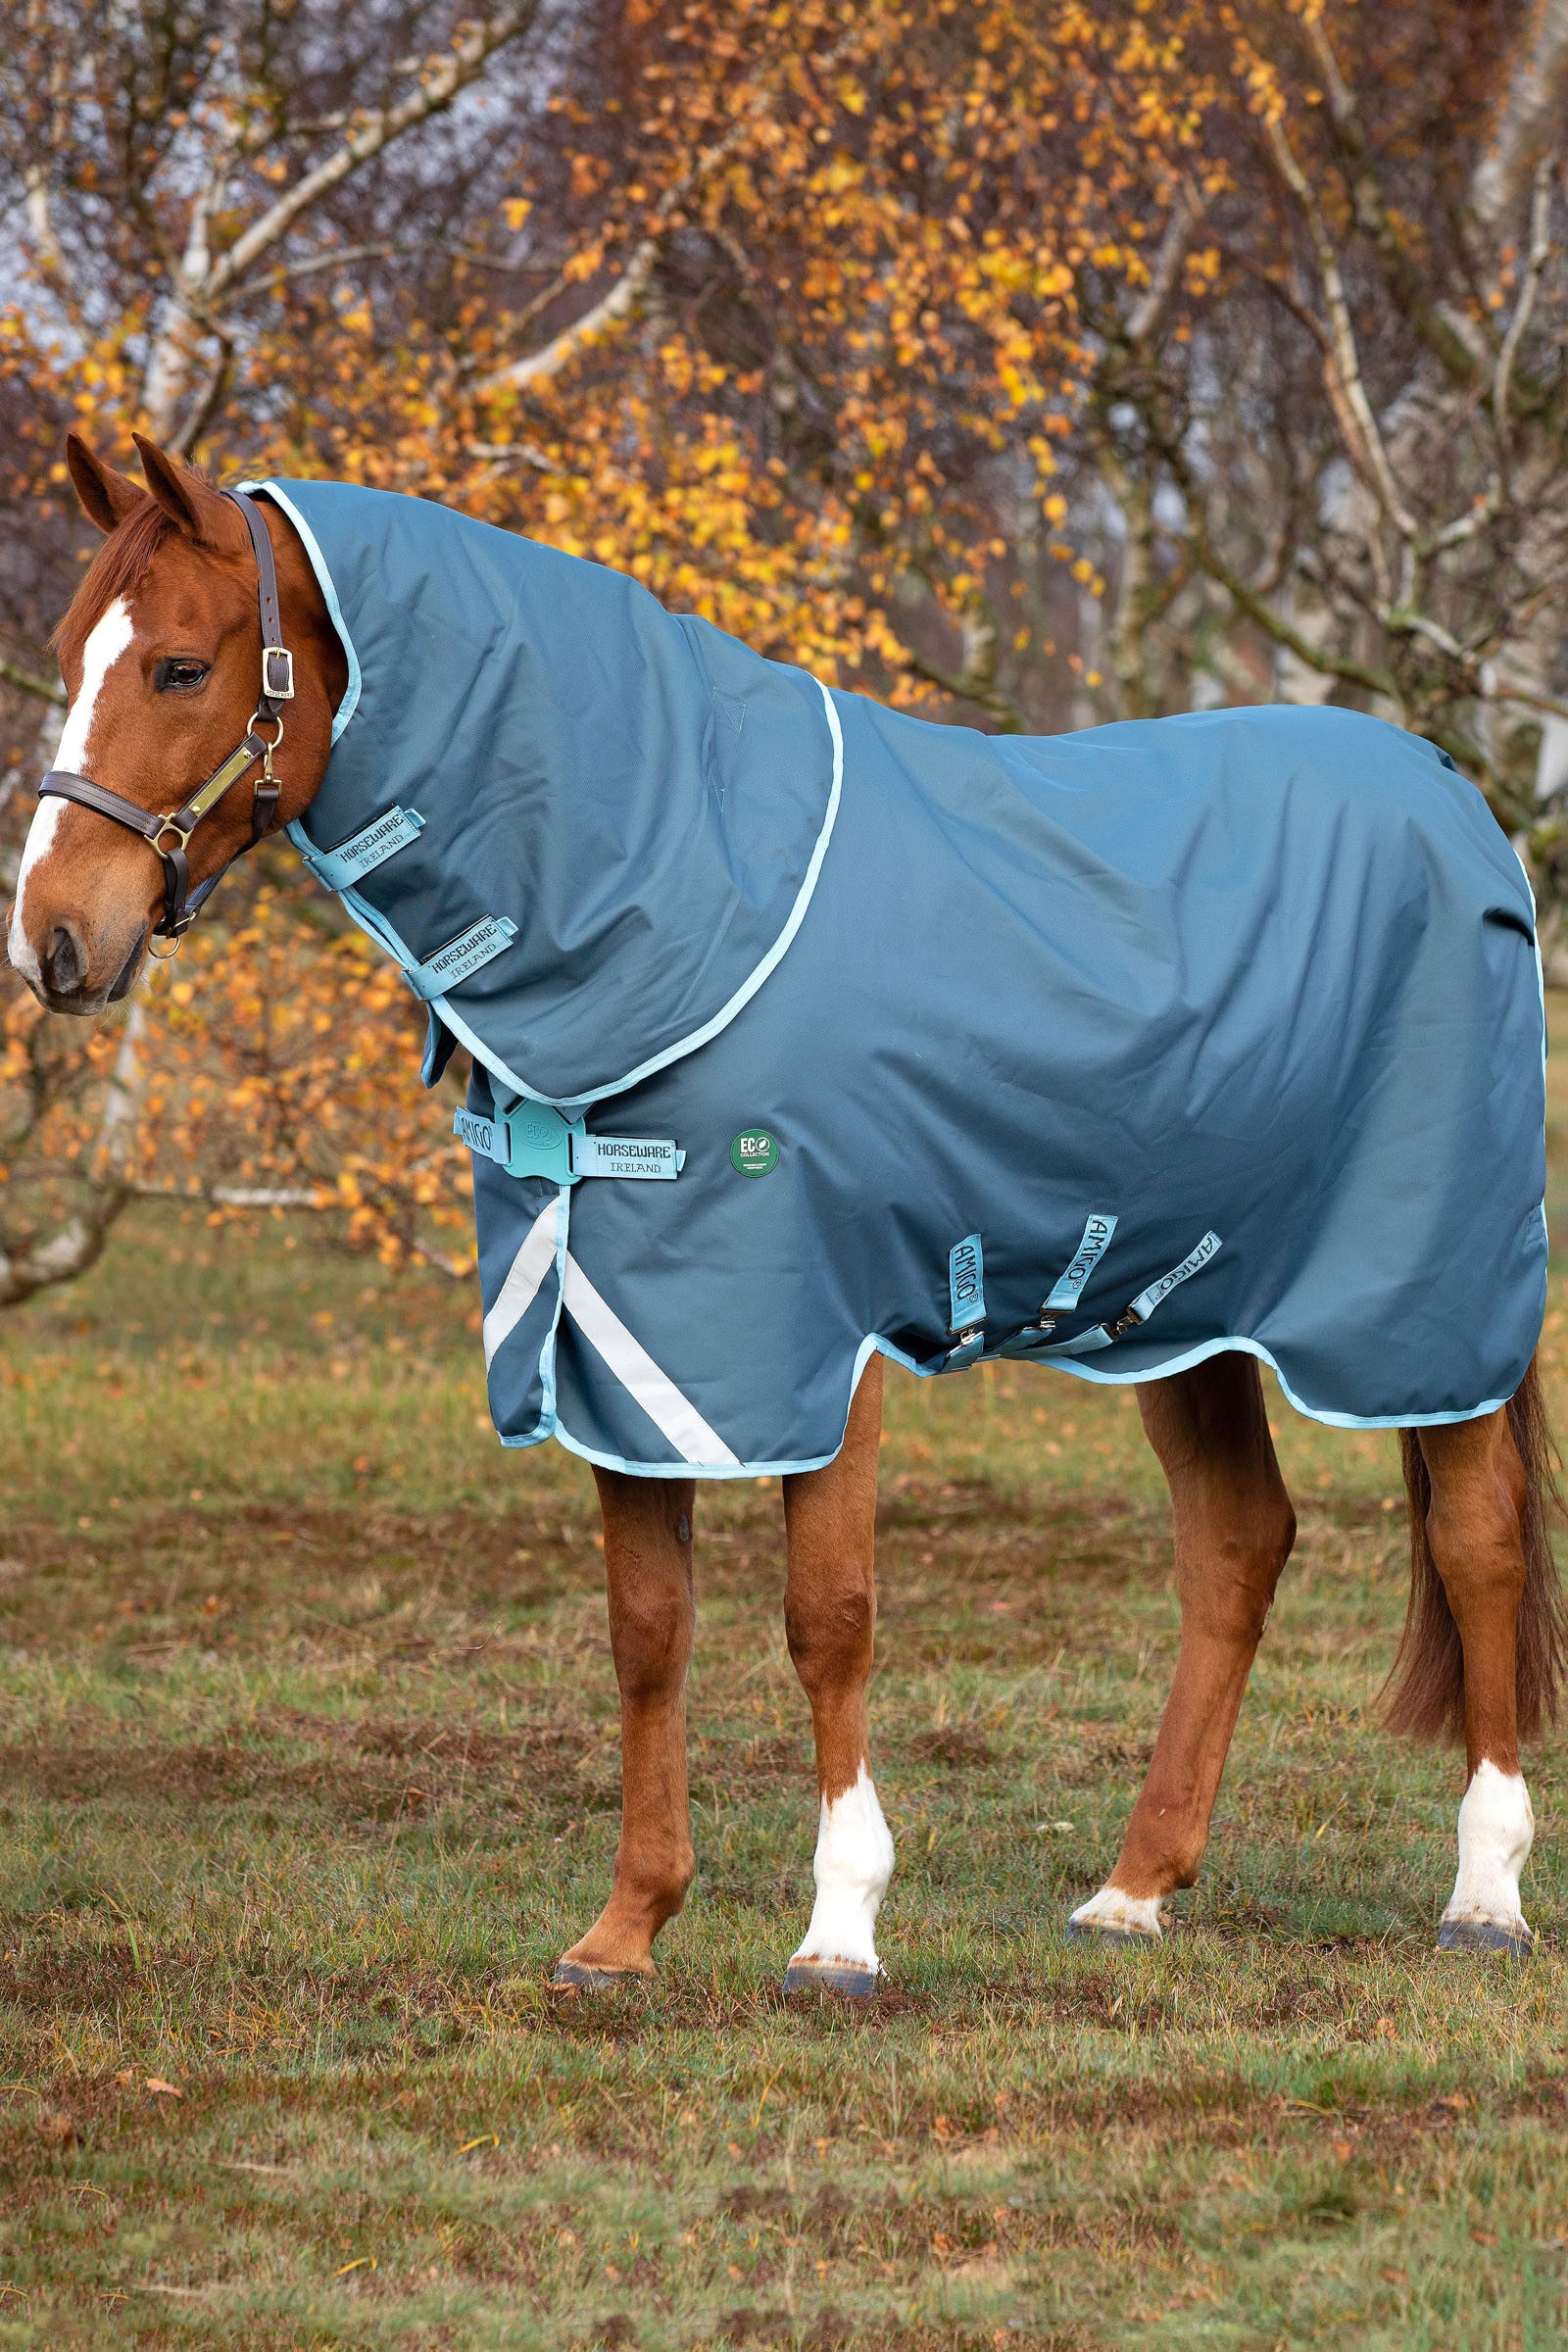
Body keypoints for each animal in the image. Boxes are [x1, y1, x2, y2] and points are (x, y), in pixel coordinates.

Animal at [7, 430, 1563, 1990]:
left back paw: (1483, 1895)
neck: (676, 891)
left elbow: (829, 1618)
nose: (54, 941)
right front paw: (624, 1931)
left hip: (1426, 1307)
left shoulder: (816, 1336)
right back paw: (1132, 1891)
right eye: (70, 650)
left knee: (1478, 1542)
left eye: (182, 668)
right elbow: (647, 1628)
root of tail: (1449, 789)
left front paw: (838, 1933)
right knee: (1238, 1548)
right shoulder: (620, 1343)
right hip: (1181, 1307)